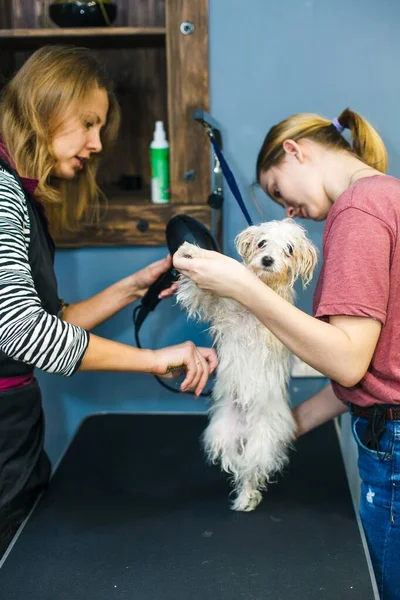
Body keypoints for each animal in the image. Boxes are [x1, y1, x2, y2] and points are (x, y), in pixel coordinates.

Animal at [177, 220, 318, 510]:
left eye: (289, 249)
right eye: (262, 243)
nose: (267, 260)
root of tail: (245, 429)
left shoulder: (275, 330)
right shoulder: (223, 312)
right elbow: (202, 295)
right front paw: (191, 252)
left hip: (261, 445)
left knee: (251, 471)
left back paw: (247, 496)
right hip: (222, 434)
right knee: (236, 464)